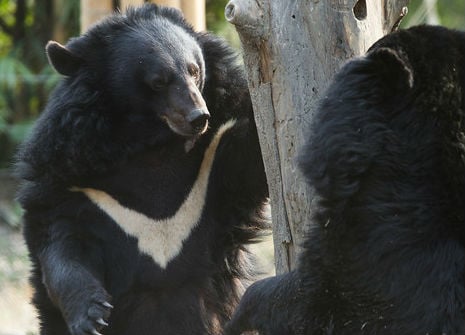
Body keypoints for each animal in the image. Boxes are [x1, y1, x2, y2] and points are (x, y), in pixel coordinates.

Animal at [15, 4, 268, 335]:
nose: (198, 117)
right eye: (158, 81)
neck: (153, 145)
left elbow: (253, 158)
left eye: (194, 70)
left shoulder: (213, 165)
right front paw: (92, 316)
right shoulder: (70, 180)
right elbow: (62, 246)